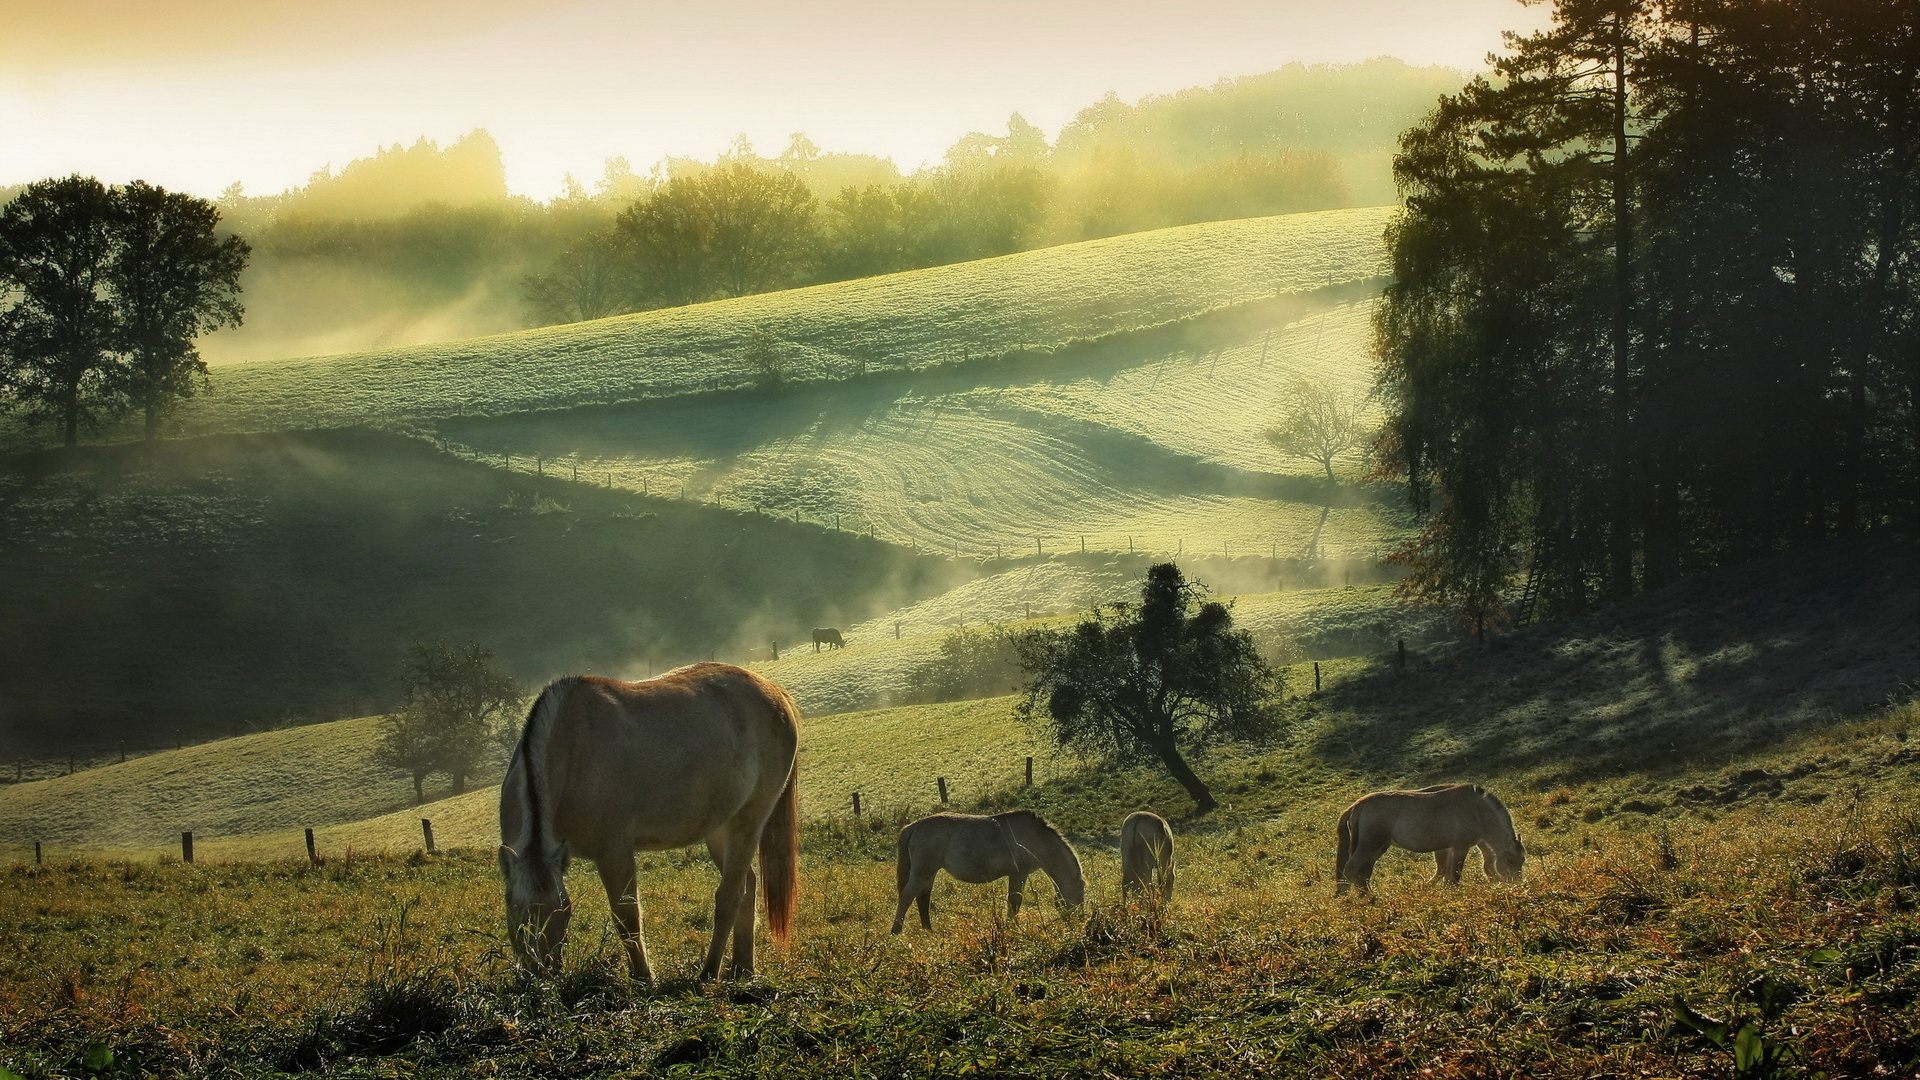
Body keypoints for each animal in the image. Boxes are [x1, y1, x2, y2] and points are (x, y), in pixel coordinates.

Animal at [499, 661, 798, 980]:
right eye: (514, 909)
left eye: (563, 910)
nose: (541, 973)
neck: (571, 752)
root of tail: (775, 693)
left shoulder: (614, 852)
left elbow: (627, 916)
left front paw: (643, 977)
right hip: (721, 830)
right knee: (748, 886)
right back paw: (742, 968)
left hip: (749, 820)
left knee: (730, 895)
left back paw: (708, 972)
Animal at [890, 803, 1090, 930]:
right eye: (1080, 894)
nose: (1080, 922)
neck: (1035, 838)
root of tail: (914, 826)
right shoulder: (1018, 874)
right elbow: (1015, 902)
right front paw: (1012, 928)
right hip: (923, 870)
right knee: (907, 896)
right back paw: (896, 931)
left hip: (929, 872)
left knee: (922, 898)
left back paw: (928, 931)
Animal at [1336, 776, 1528, 895]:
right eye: (1510, 860)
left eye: (1522, 860)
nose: (1517, 883)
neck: (1478, 810)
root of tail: (1358, 805)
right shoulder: (1461, 846)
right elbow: (1455, 874)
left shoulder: (1449, 848)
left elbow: (1447, 873)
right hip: (1370, 845)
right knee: (1352, 869)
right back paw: (1368, 898)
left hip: (1378, 847)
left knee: (1363, 871)